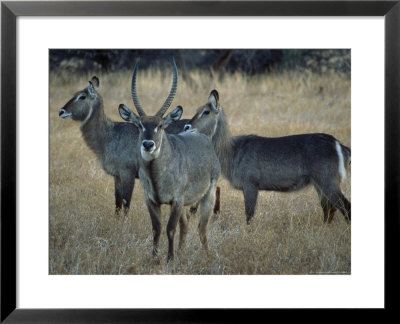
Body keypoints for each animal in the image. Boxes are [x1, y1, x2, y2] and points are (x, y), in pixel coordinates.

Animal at [58, 62, 188, 215]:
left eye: (82, 96)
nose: (61, 111)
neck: (110, 134)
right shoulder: (117, 176)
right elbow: (117, 203)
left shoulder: (127, 174)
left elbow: (126, 203)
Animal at [117, 66, 220, 264]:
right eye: (140, 125)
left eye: (160, 125)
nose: (148, 144)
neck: (157, 174)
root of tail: (202, 136)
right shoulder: (151, 200)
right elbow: (156, 229)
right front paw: (154, 257)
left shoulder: (176, 200)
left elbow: (170, 229)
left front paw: (170, 260)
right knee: (185, 226)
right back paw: (181, 251)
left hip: (207, 196)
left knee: (202, 229)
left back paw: (207, 255)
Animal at [184, 90, 350, 224]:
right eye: (197, 110)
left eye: (206, 111)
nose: (187, 127)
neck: (232, 151)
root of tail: (339, 144)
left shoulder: (250, 184)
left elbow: (249, 215)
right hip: (319, 183)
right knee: (329, 209)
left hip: (328, 180)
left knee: (345, 206)